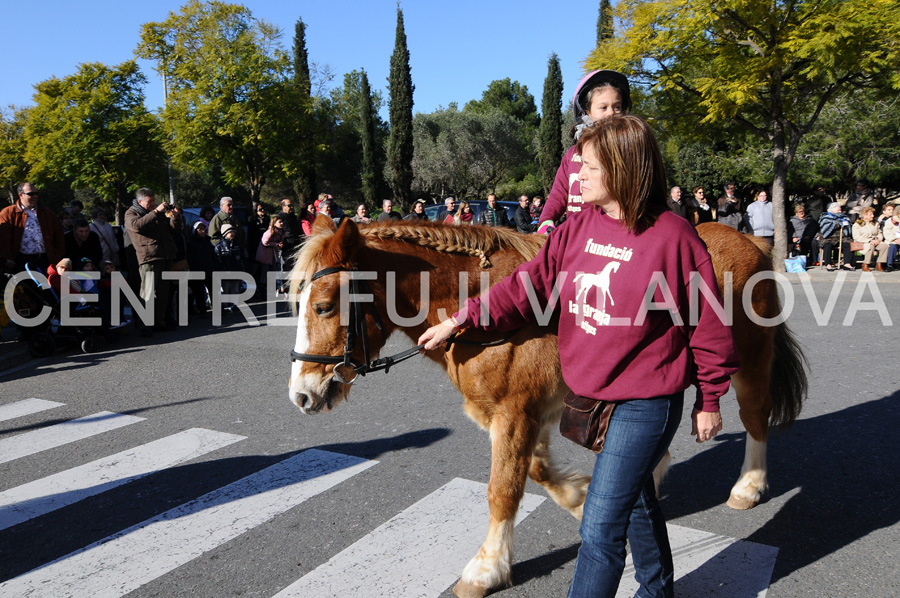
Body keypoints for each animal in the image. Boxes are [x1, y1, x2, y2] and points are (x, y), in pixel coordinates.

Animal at [286, 218, 800, 596]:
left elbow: (503, 490)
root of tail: (751, 239)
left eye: (326, 306)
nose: (301, 394)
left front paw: (487, 568)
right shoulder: (527, 414)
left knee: (755, 416)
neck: (488, 309)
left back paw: (749, 485)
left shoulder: (515, 414)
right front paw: (580, 499)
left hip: (751, 359)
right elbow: (535, 471)